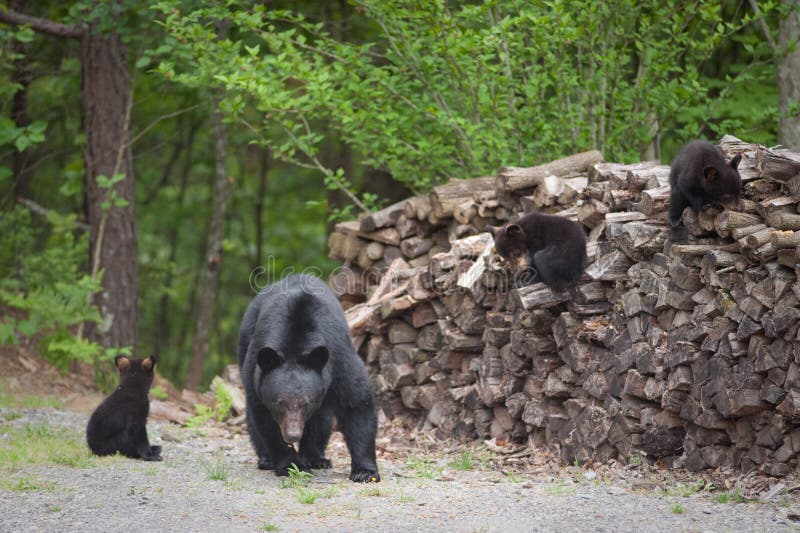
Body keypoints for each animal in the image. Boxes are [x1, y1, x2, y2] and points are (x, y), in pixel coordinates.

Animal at [238, 274, 382, 482]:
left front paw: (365, 472)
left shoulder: (339, 359)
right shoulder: (256, 376)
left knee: (321, 419)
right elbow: (266, 421)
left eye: (305, 403)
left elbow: (356, 404)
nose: (292, 435)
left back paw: (317, 458)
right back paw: (267, 460)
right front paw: (291, 465)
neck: (295, 345)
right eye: (279, 402)